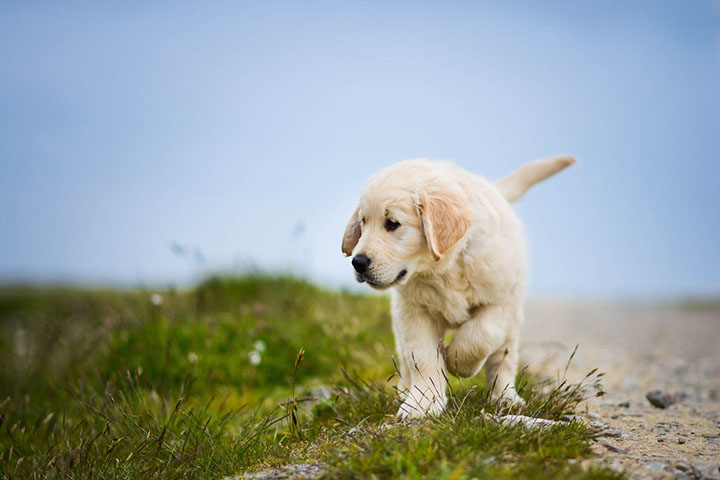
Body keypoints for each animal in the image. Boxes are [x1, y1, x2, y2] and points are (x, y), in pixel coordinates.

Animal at [342, 156, 572, 418]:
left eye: (392, 223)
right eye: (363, 222)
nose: (358, 262)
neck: (444, 268)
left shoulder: (502, 300)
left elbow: (482, 335)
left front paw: (457, 361)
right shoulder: (413, 310)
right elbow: (421, 357)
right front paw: (423, 402)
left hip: (512, 322)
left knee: (503, 357)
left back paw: (505, 397)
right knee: (405, 359)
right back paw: (405, 389)